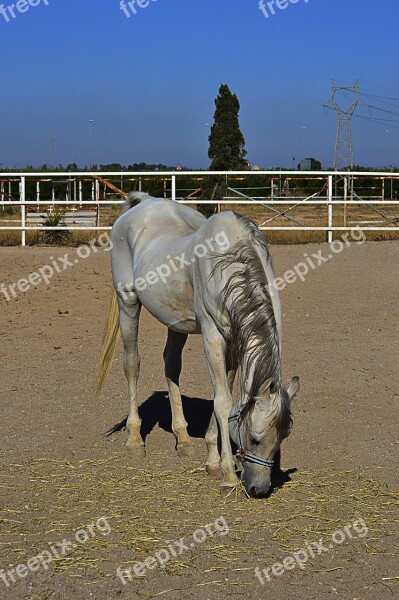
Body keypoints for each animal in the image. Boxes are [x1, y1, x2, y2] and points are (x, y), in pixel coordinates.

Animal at [95, 193, 298, 496]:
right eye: (254, 437)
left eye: (282, 437)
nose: (259, 489)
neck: (230, 263)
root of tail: (144, 202)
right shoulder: (212, 335)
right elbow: (223, 402)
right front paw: (228, 474)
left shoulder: (234, 340)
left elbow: (222, 396)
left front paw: (212, 460)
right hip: (127, 303)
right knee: (132, 365)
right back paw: (134, 440)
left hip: (175, 322)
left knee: (171, 366)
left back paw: (182, 438)